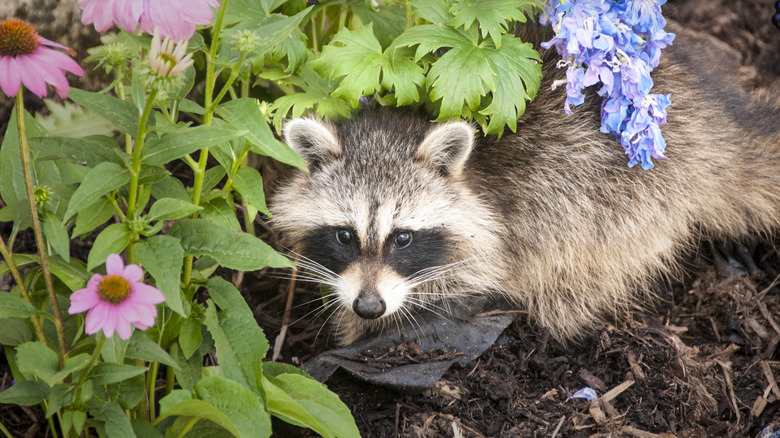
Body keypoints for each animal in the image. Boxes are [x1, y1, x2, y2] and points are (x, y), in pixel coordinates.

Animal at [268, 21, 780, 346]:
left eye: (403, 238)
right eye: (344, 235)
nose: (369, 307)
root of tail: (711, 118)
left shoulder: (504, 226)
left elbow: (471, 276)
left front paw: (367, 326)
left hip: (623, 197)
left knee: (577, 269)